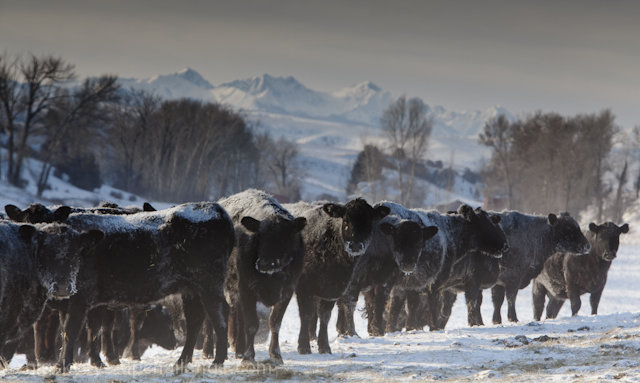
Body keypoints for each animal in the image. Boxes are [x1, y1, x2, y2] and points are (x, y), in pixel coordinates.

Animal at [50, 202, 235, 374]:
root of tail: (215, 208)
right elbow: (80, 330)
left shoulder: (81, 297)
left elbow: (71, 330)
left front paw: (62, 365)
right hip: (191, 289)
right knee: (195, 319)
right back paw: (182, 361)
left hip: (209, 285)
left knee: (219, 313)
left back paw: (217, 361)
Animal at [220, 190, 308, 368]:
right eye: (260, 237)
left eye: (285, 238)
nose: (265, 263)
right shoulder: (246, 288)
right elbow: (251, 324)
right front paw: (248, 357)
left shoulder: (287, 291)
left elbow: (275, 322)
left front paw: (276, 354)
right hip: (233, 288)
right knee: (238, 314)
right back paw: (239, 347)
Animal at [286, 200, 390, 356]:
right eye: (346, 220)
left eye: (369, 222)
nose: (355, 245)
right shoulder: (304, 287)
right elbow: (306, 314)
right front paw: (303, 346)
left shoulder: (334, 289)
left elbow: (324, 316)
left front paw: (324, 346)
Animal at [332, 202, 438, 338]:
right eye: (398, 240)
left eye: (419, 242)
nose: (408, 264)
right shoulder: (360, 280)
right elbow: (356, 303)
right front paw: (361, 331)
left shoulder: (381, 281)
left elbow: (376, 303)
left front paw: (375, 329)